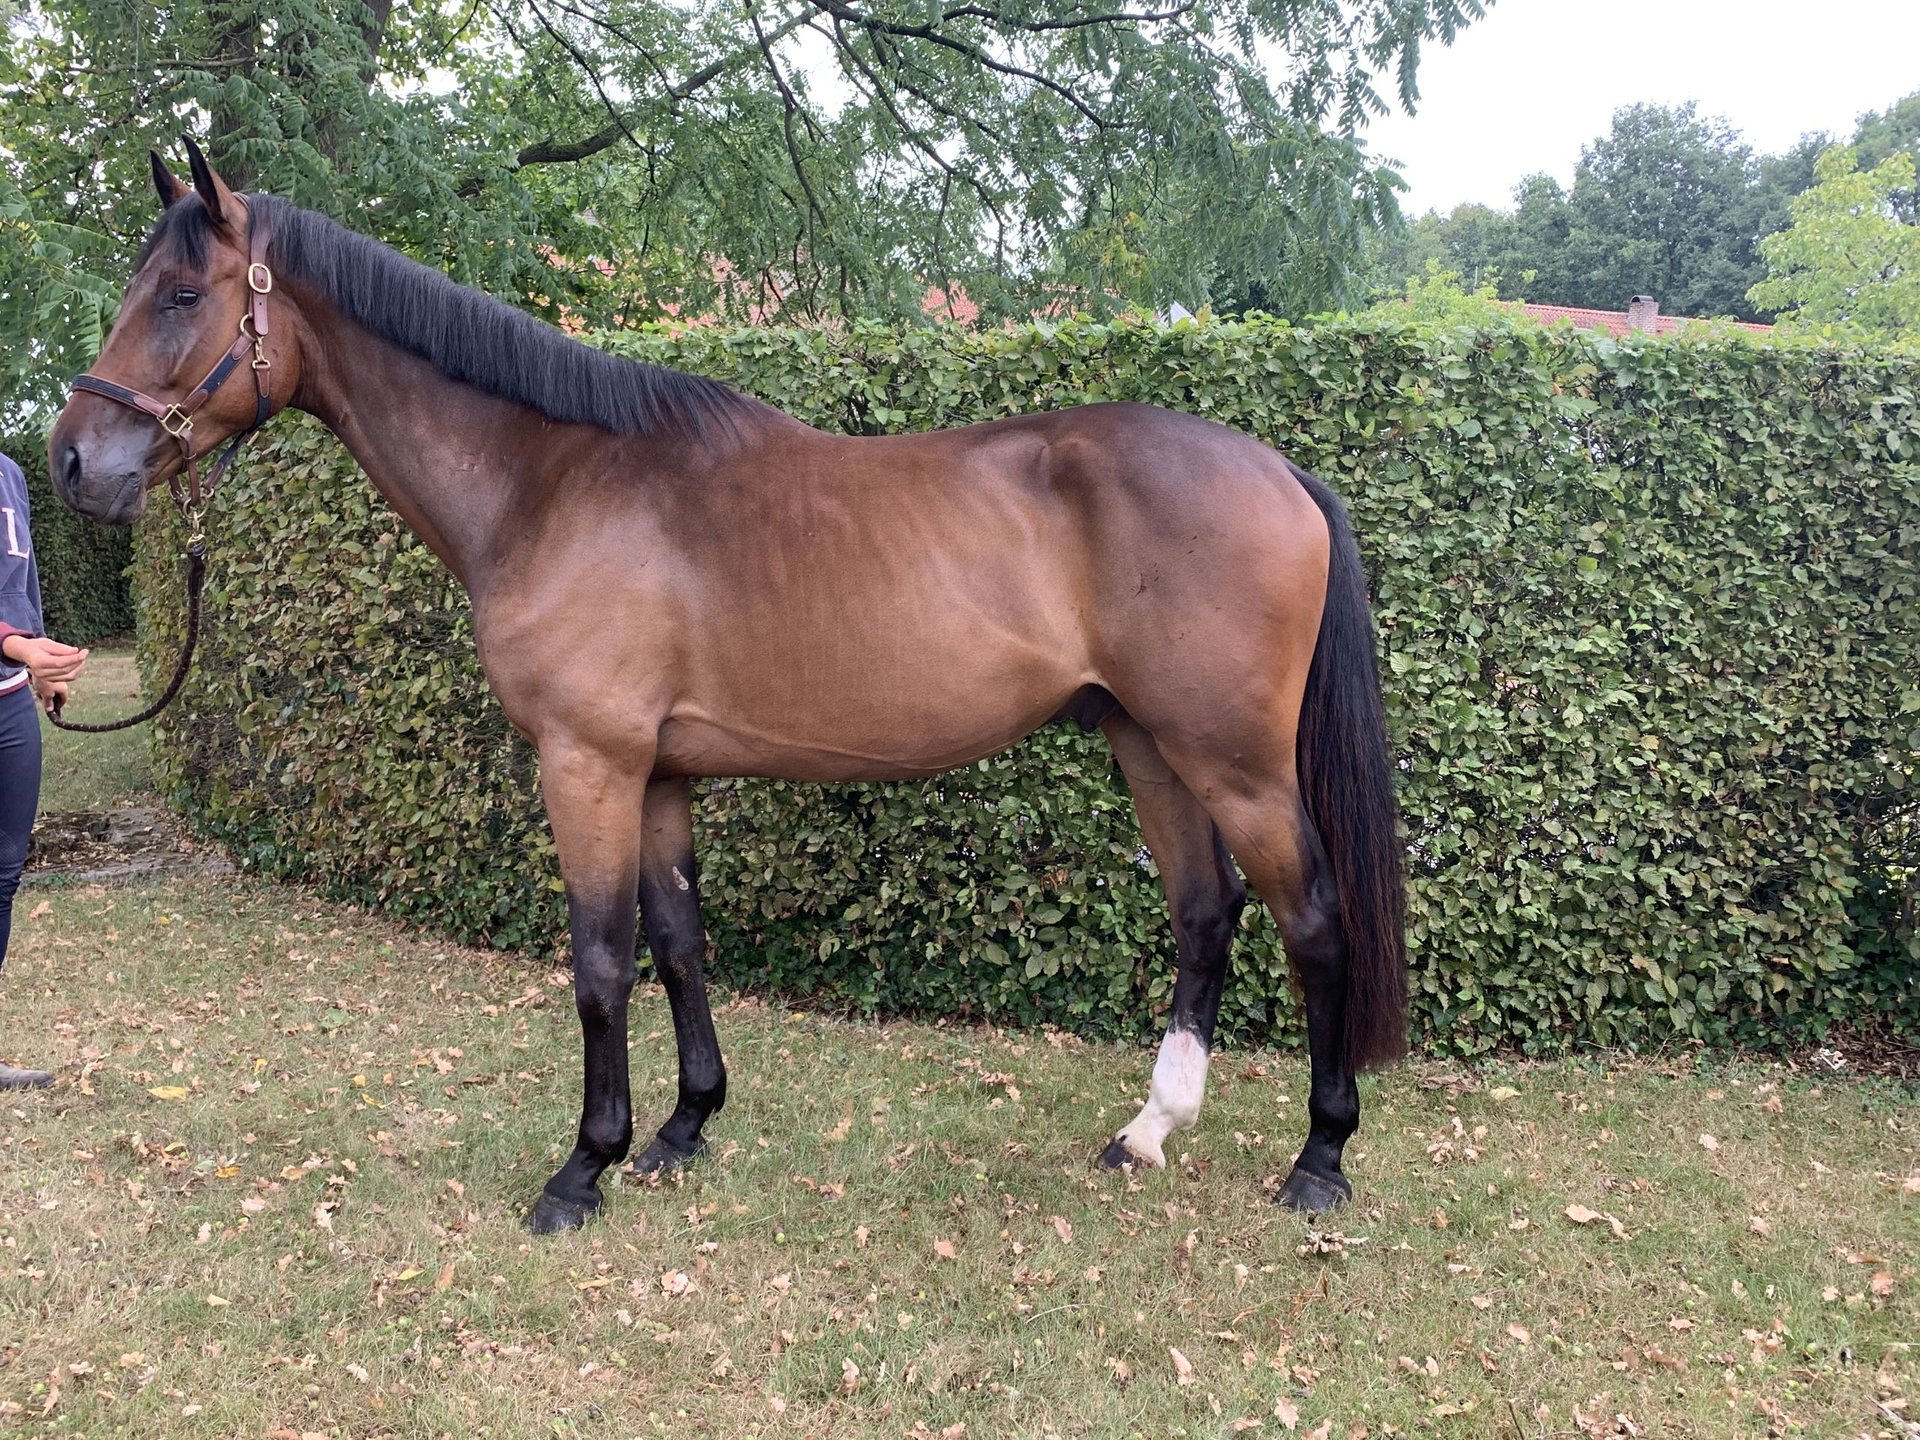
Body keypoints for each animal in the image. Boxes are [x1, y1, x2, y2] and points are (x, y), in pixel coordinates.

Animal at [52, 141, 1405, 1236]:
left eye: (182, 295)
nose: (71, 461)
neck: (554, 484)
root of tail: (1281, 471)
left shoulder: (587, 762)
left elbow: (601, 960)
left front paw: (581, 1171)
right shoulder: (657, 774)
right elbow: (678, 941)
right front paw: (682, 1129)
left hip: (1231, 758)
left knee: (1312, 919)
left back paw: (1320, 1158)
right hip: (1148, 743)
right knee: (1205, 914)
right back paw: (1148, 1131)